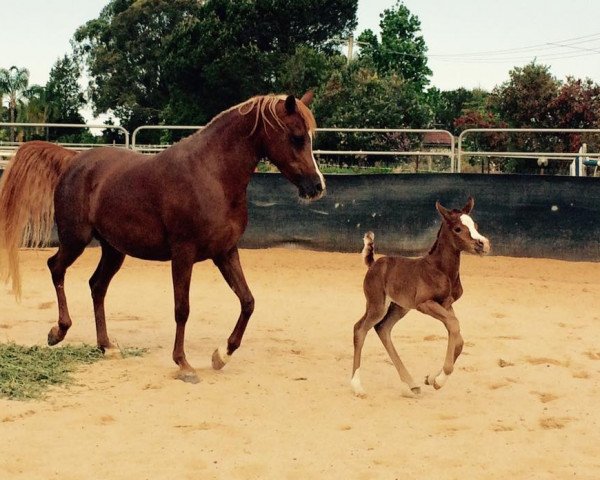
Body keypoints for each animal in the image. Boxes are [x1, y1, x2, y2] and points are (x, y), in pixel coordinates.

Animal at [352, 197, 488, 396]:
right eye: (457, 228)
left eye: (475, 225)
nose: (483, 244)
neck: (441, 270)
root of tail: (373, 264)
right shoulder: (424, 304)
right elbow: (454, 325)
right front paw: (439, 380)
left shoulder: (446, 304)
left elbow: (458, 337)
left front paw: (431, 378)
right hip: (377, 304)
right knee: (360, 329)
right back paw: (357, 386)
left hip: (400, 307)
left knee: (383, 328)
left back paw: (412, 384)